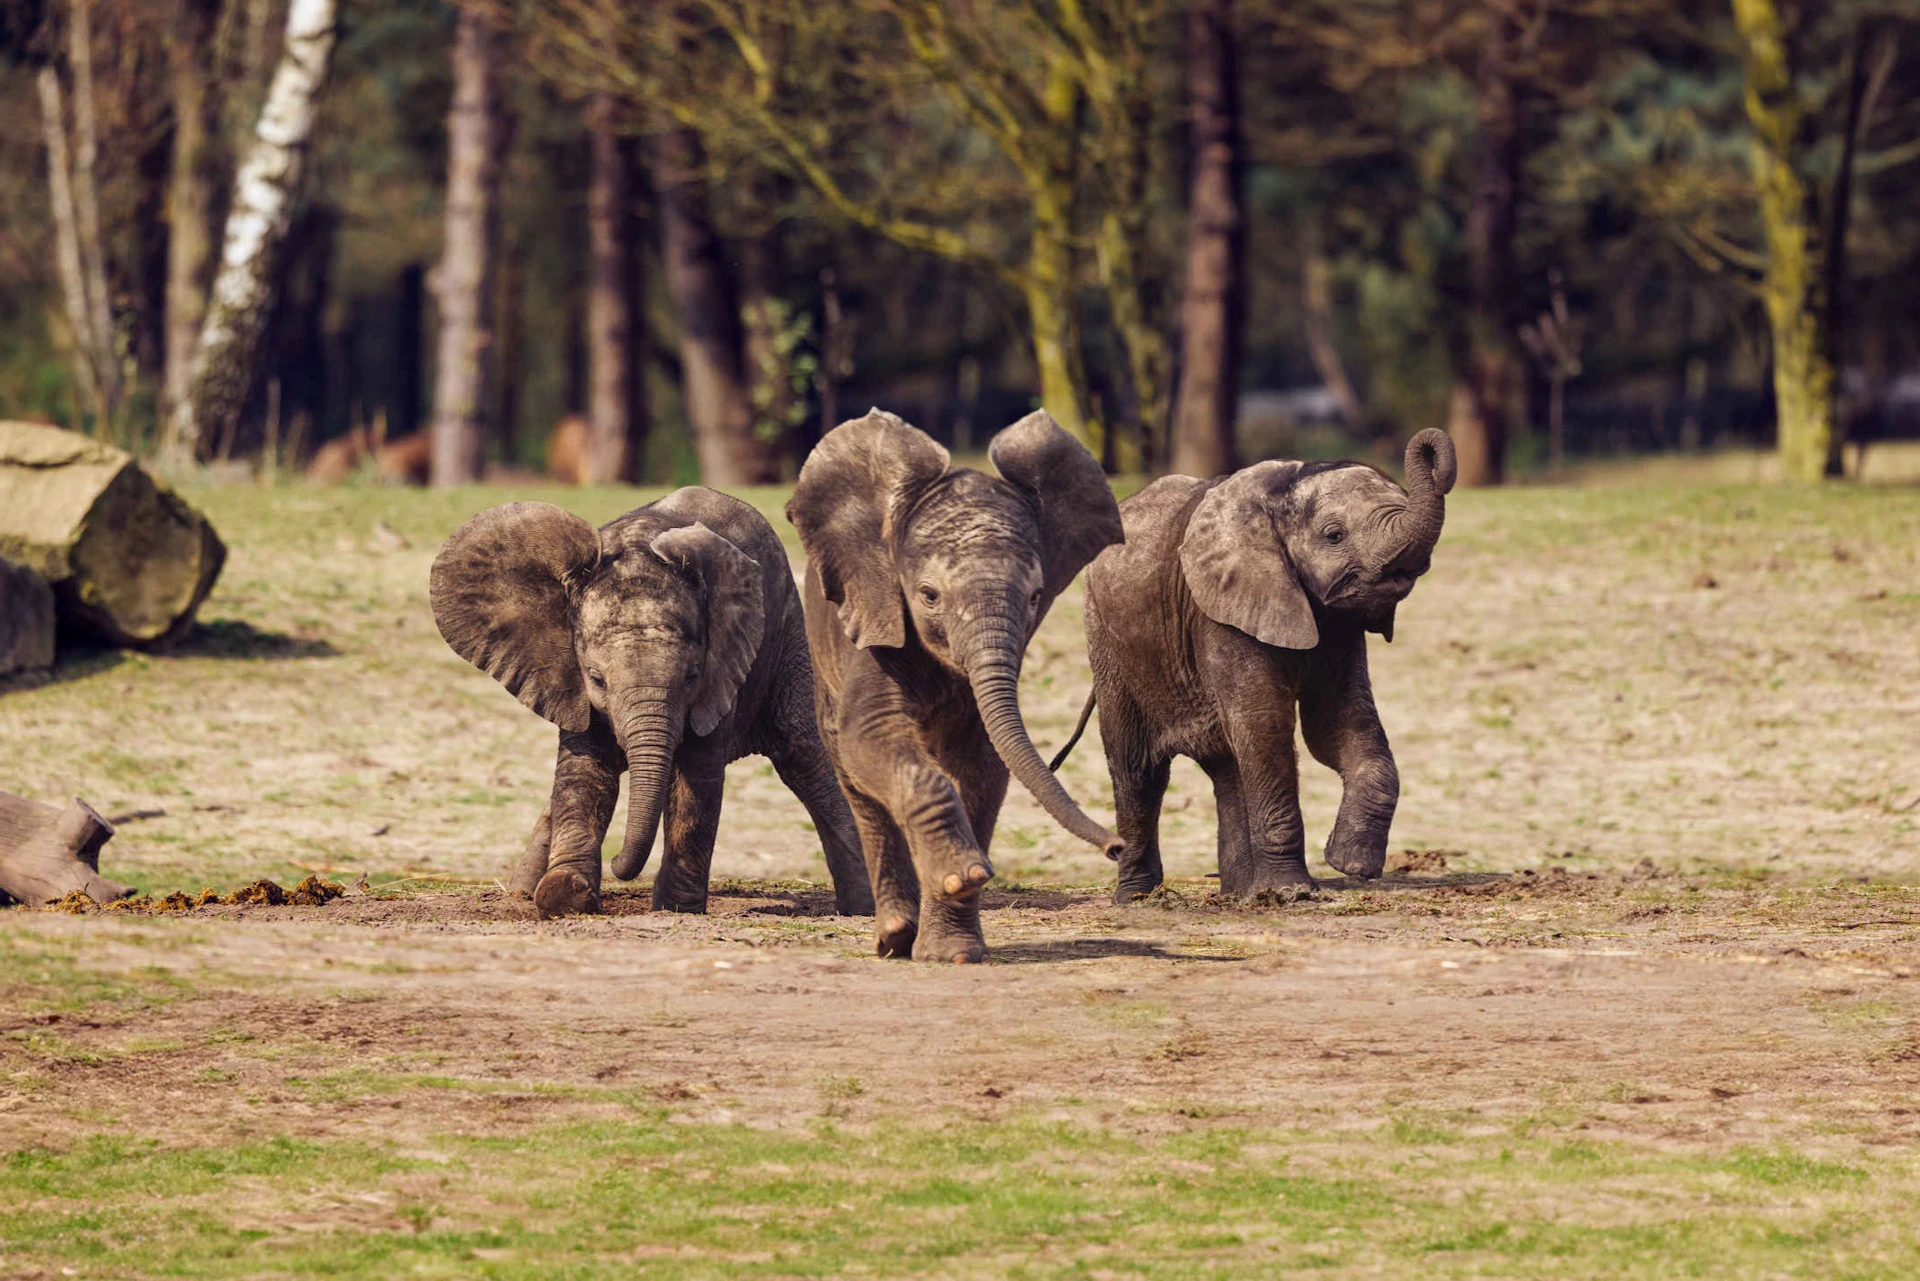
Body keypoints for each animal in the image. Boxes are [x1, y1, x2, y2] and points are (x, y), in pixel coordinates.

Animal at [430, 487, 873, 919]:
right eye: (596, 678)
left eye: (691, 677)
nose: (617, 866)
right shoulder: (567, 679)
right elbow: (584, 770)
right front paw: (565, 895)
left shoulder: (723, 666)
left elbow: (697, 777)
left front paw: (675, 907)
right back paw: (522, 891)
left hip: (788, 633)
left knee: (806, 758)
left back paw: (861, 909)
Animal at [786, 408, 1126, 963]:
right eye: (928, 595)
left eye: (1036, 597)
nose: (1117, 847)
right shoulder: (874, 616)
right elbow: (870, 735)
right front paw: (962, 874)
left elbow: (983, 765)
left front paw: (954, 949)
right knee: (858, 783)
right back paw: (893, 938)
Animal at [1051, 430, 1456, 902]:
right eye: (1334, 535)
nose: (1429, 444)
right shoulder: (1220, 610)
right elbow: (1264, 723)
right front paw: (1293, 893)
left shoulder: (1338, 627)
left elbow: (1338, 724)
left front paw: (1350, 863)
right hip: (1107, 639)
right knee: (1138, 769)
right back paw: (1139, 898)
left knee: (1227, 767)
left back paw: (1240, 894)